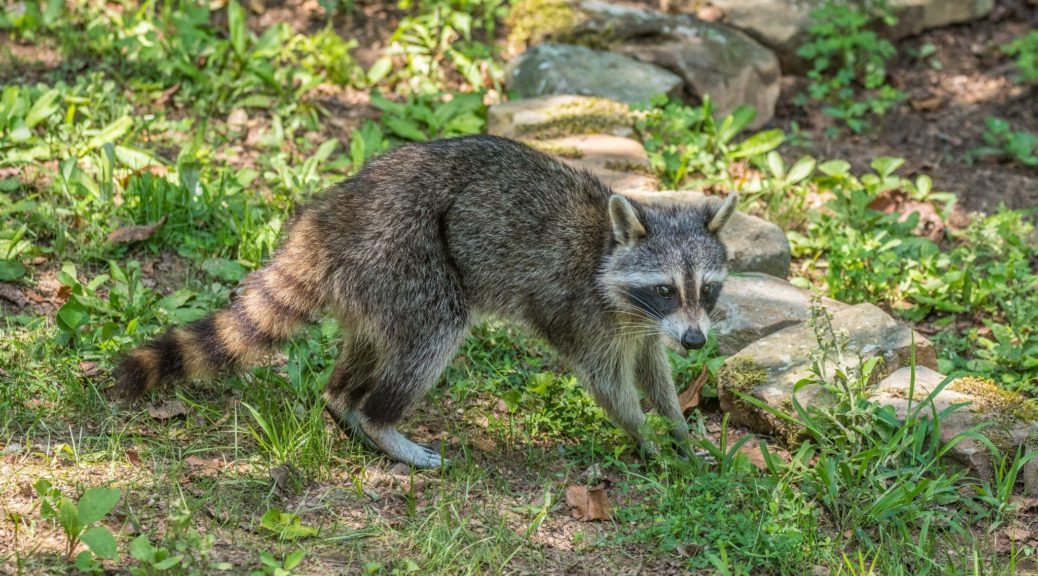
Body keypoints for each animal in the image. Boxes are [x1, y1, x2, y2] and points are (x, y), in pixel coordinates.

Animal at [113, 134, 734, 469]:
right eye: (664, 287)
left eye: (706, 288)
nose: (697, 341)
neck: (610, 250)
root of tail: (331, 218)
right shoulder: (582, 311)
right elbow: (608, 382)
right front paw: (645, 437)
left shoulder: (642, 323)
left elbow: (652, 368)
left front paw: (679, 429)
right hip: (403, 254)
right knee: (433, 333)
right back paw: (380, 419)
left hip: (372, 284)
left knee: (369, 345)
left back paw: (343, 399)